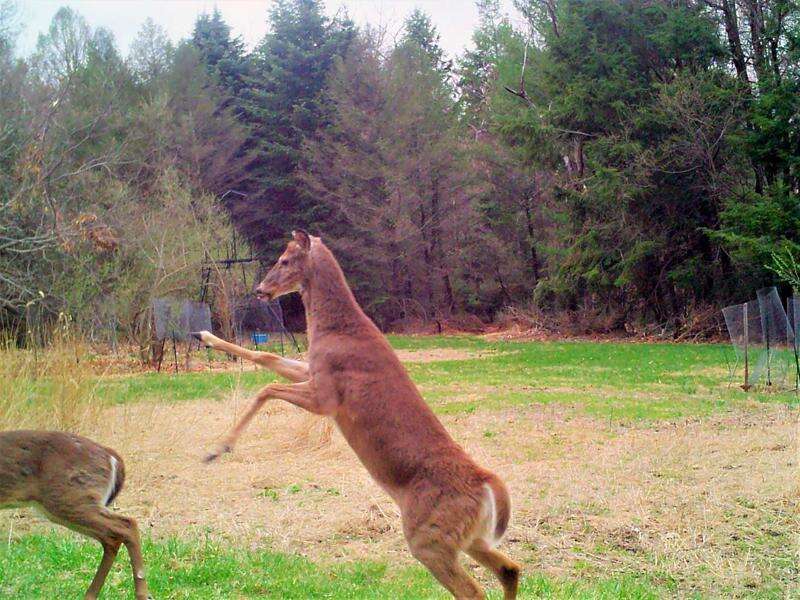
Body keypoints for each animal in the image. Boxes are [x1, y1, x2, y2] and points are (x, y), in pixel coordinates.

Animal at [0, 428, 151, 596]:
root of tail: (111, 456)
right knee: (111, 538)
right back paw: (91, 594)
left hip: (71, 497)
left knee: (127, 524)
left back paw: (141, 594)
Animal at [193, 231, 520, 600]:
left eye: (285, 260)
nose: (261, 289)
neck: (337, 329)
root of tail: (486, 482)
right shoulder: (312, 370)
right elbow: (266, 357)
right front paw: (204, 336)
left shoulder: (326, 395)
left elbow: (267, 388)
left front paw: (217, 449)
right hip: (468, 536)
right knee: (510, 569)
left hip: (429, 535)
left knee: (474, 590)